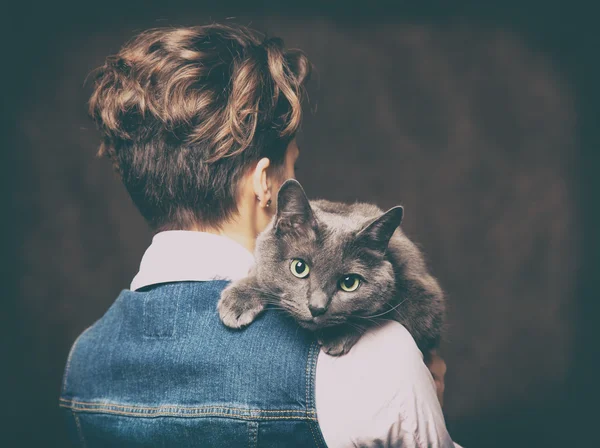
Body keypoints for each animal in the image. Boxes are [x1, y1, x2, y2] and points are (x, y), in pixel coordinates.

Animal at [218, 178, 442, 356]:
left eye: (349, 283)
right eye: (299, 268)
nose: (316, 308)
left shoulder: (425, 304)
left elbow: (380, 311)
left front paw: (336, 334)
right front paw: (239, 299)